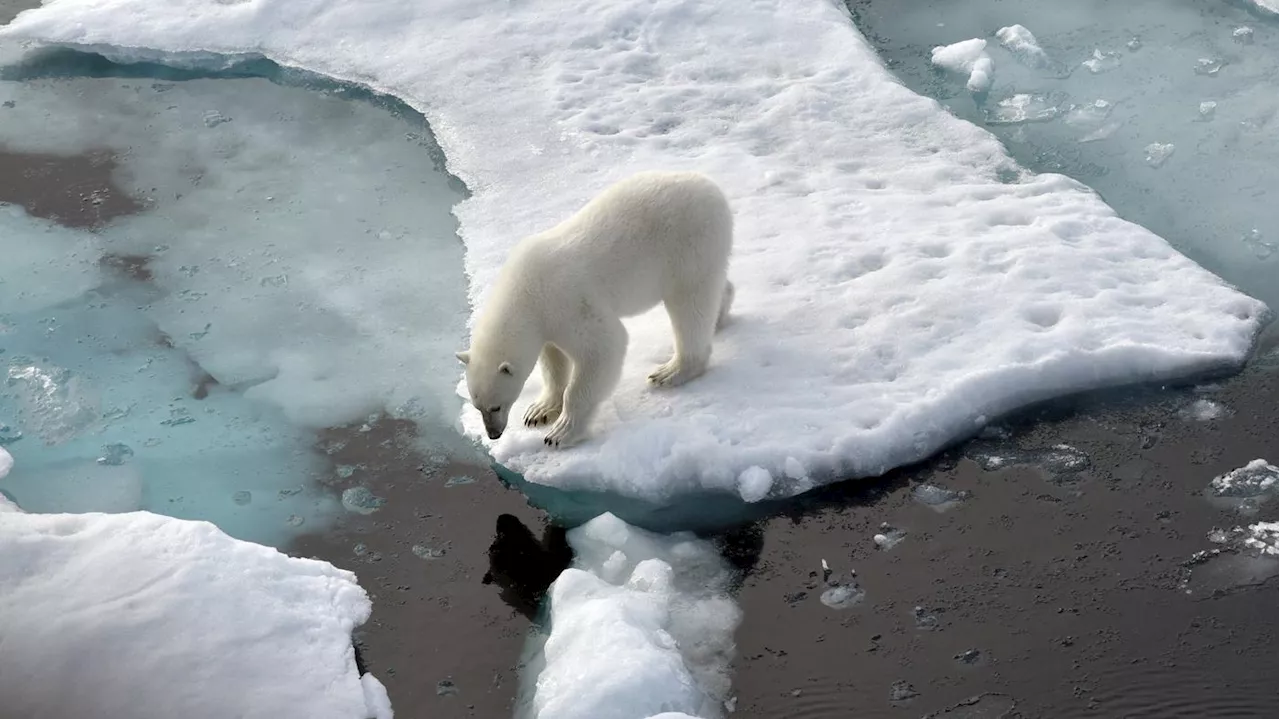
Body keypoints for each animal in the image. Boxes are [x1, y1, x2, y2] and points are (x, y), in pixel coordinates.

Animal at [455, 170, 737, 445]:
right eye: (477, 406)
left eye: (495, 406)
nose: (494, 434)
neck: (524, 290)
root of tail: (714, 190)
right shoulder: (546, 321)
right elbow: (554, 361)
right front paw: (539, 411)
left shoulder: (567, 302)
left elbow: (603, 347)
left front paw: (561, 432)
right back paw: (719, 316)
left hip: (689, 244)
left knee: (690, 305)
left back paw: (672, 371)